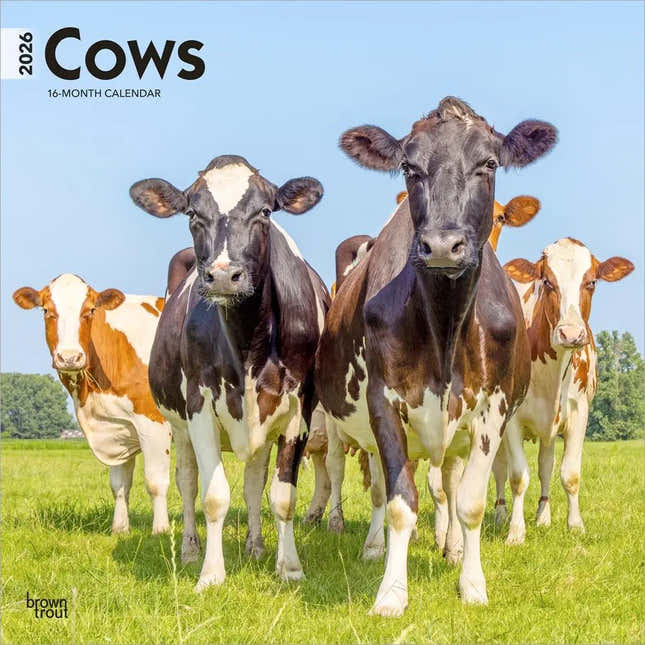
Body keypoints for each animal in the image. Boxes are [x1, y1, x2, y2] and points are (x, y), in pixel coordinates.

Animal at [13, 274, 171, 535]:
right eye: (46, 310)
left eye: (89, 311)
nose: (69, 357)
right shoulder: (118, 426)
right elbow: (119, 485)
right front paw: (119, 528)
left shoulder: (153, 422)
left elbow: (155, 481)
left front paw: (161, 531)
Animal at [129, 154, 324, 591]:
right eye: (192, 213)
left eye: (265, 211)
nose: (222, 275)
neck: (249, 339)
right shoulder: (200, 406)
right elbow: (213, 495)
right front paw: (211, 574)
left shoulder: (298, 409)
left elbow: (281, 496)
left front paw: (289, 567)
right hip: (179, 425)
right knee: (186, 482)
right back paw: (189, 550)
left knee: (253, 483)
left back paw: (255, 546)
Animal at [316, 96, 557, 615]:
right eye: (409, 167)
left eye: (489, 163)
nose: (443, 246)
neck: (445, 327)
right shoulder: (385, 402)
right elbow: (399, 502)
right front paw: (391, 593)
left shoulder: (492, 408)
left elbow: (469, 501)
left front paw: (472, 584)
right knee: (377, 486)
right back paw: (373, 546)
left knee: (448, 480)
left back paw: (452, 548)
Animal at [492, 238, 633, 543]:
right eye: (547, 281)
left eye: (591, 282)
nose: (570, 333)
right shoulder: (511, 418)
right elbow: (517, 476)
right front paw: (515, 532)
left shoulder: (579, 412)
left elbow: (569, 473)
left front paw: (575, 525)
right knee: (499, 469)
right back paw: (500, 514)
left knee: (546, 466)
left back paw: (543, 516)